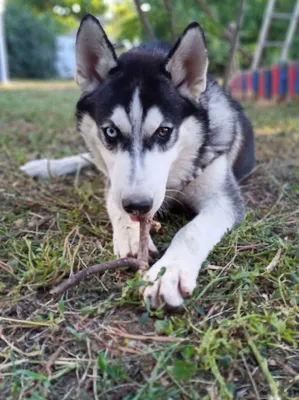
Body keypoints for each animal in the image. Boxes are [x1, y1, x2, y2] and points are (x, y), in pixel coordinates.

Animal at [21, 14, 255, 308]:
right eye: (110, 131)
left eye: (164, 131)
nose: (138, 205)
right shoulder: (114, 180)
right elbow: (114, 203)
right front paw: (131, 235)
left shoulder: (223, 200)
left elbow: (191, 231)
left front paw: (169, 271)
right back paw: (44, 166)